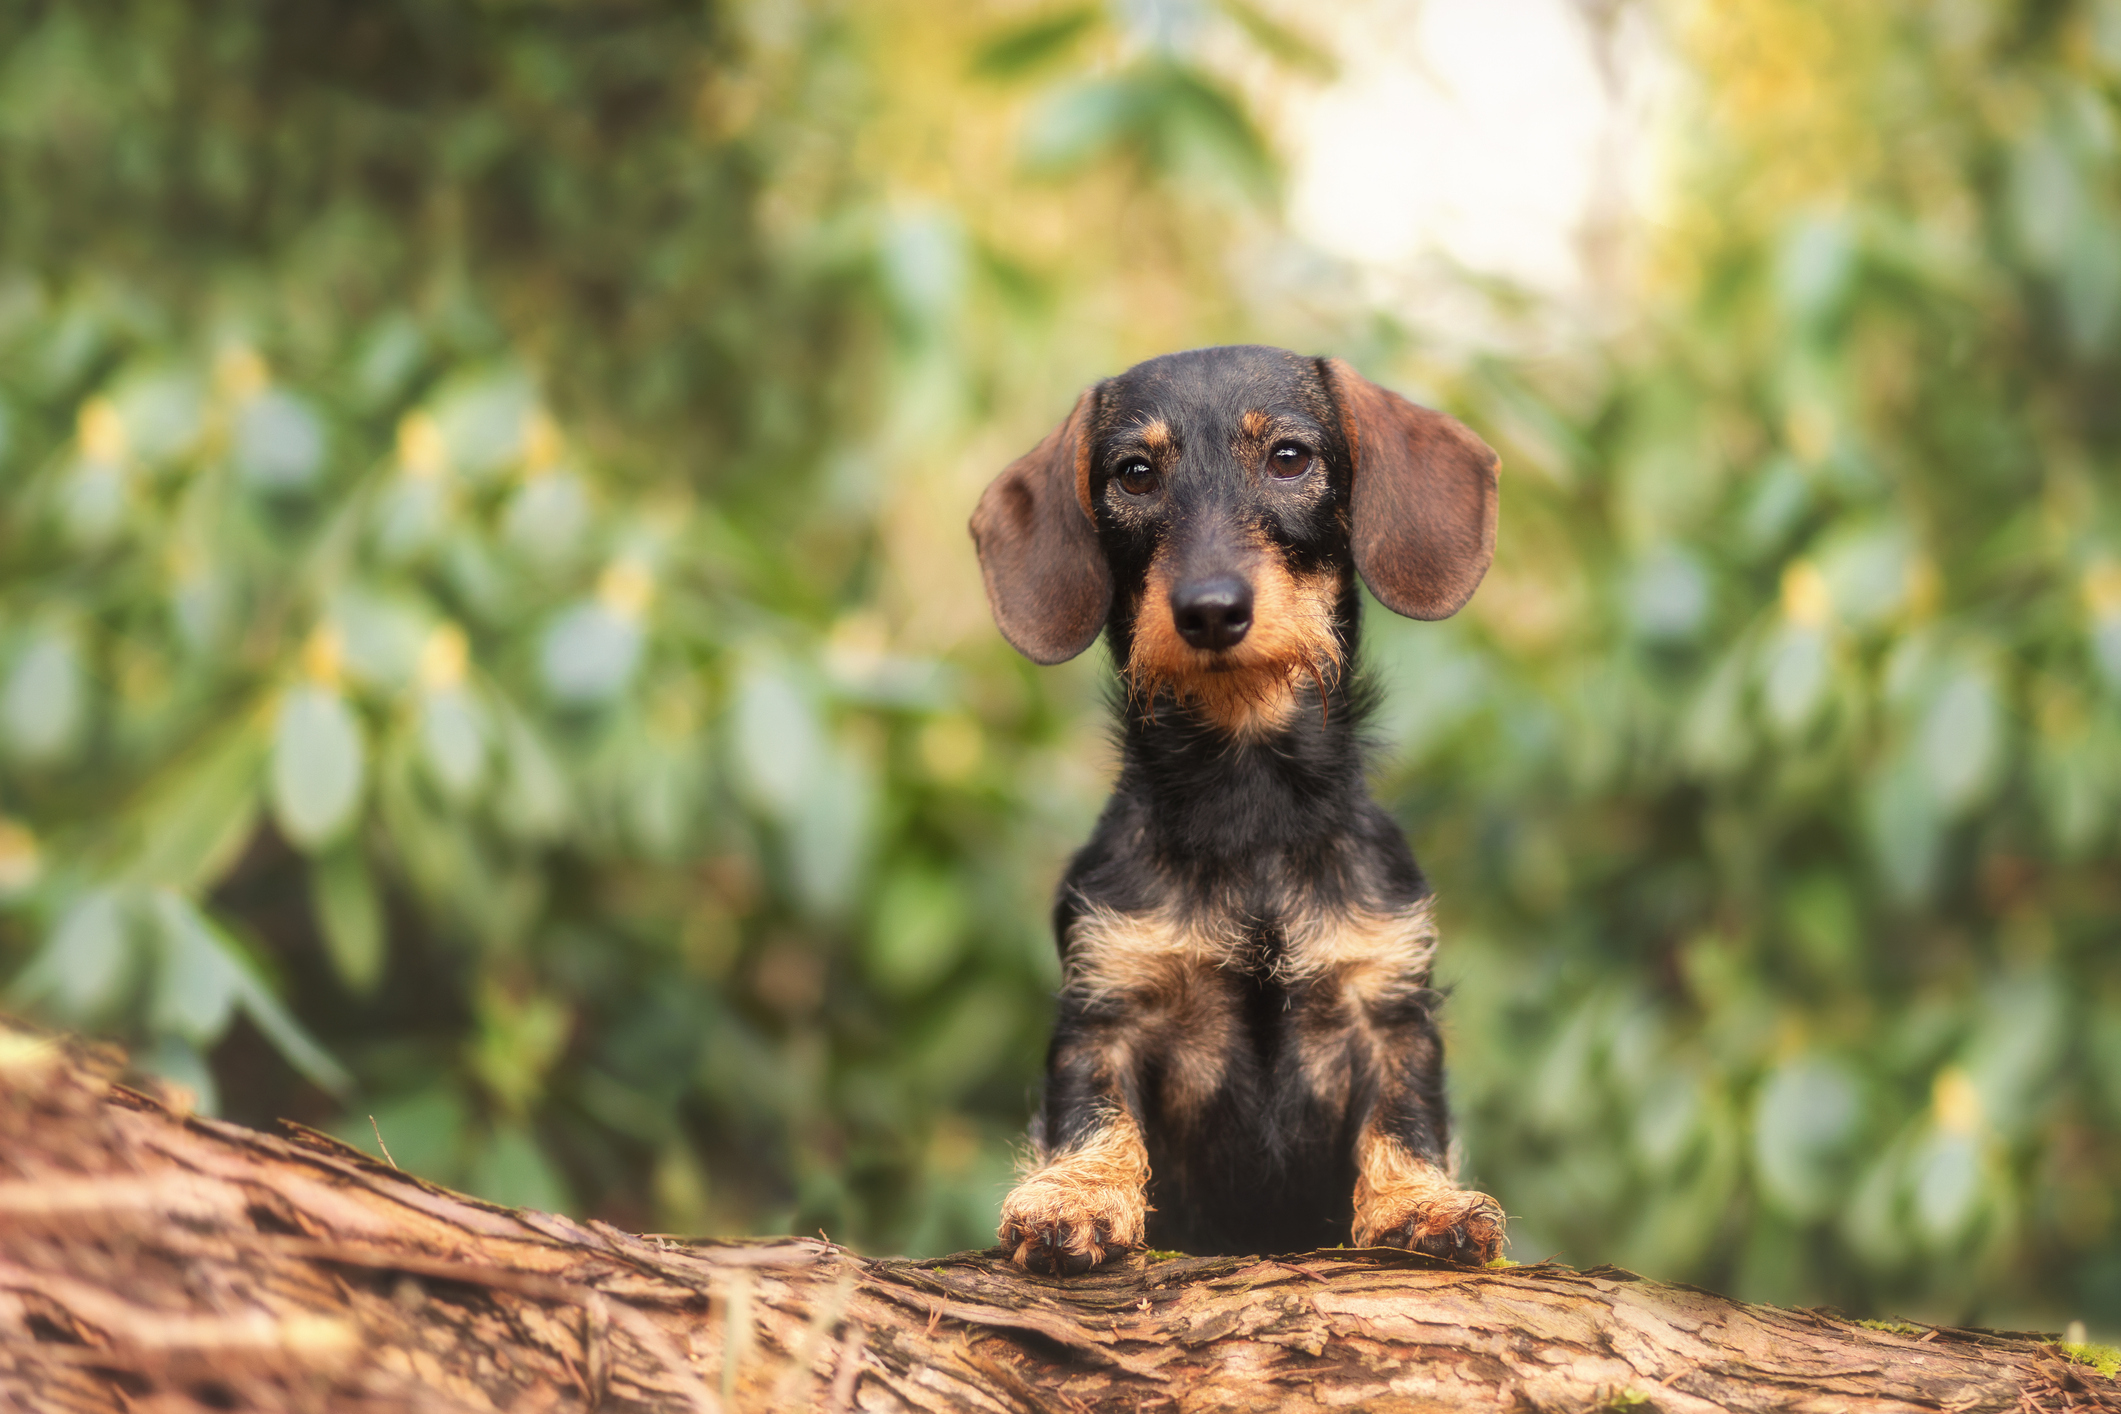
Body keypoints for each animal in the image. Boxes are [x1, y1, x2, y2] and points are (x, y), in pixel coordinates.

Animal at [971, 343, 1501, 1271]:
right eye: (1135, 474)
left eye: (1288, 457)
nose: (1210, 609)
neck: (1248, 799)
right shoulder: (1106, 1001)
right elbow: (1093, 1112)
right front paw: (1075, 1198)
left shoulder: (1387, 1003)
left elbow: (1404, 1117)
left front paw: (1421, 1204)